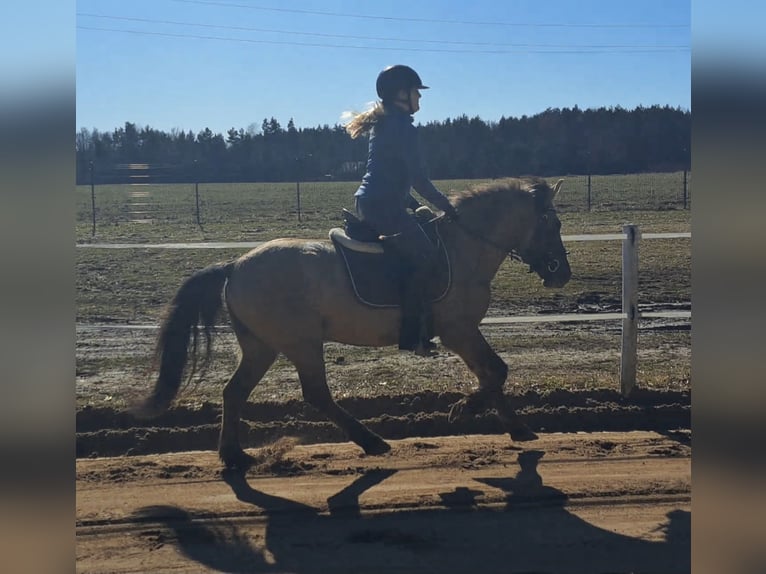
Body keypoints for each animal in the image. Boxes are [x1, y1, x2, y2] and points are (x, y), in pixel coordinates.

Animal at [135, 177, 572, 469]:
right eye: (554, 225)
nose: (562, 274)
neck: (465, 247)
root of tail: (235, 265)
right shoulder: (458, 330)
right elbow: (495, 371)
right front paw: (463, 410)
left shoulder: (463, 332)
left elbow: (492, 373)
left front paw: (516, 427)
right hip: (301, 343)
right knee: (315, 394)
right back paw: (370, 440)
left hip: (263, 346)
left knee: (234, 392)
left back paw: (233, 454)